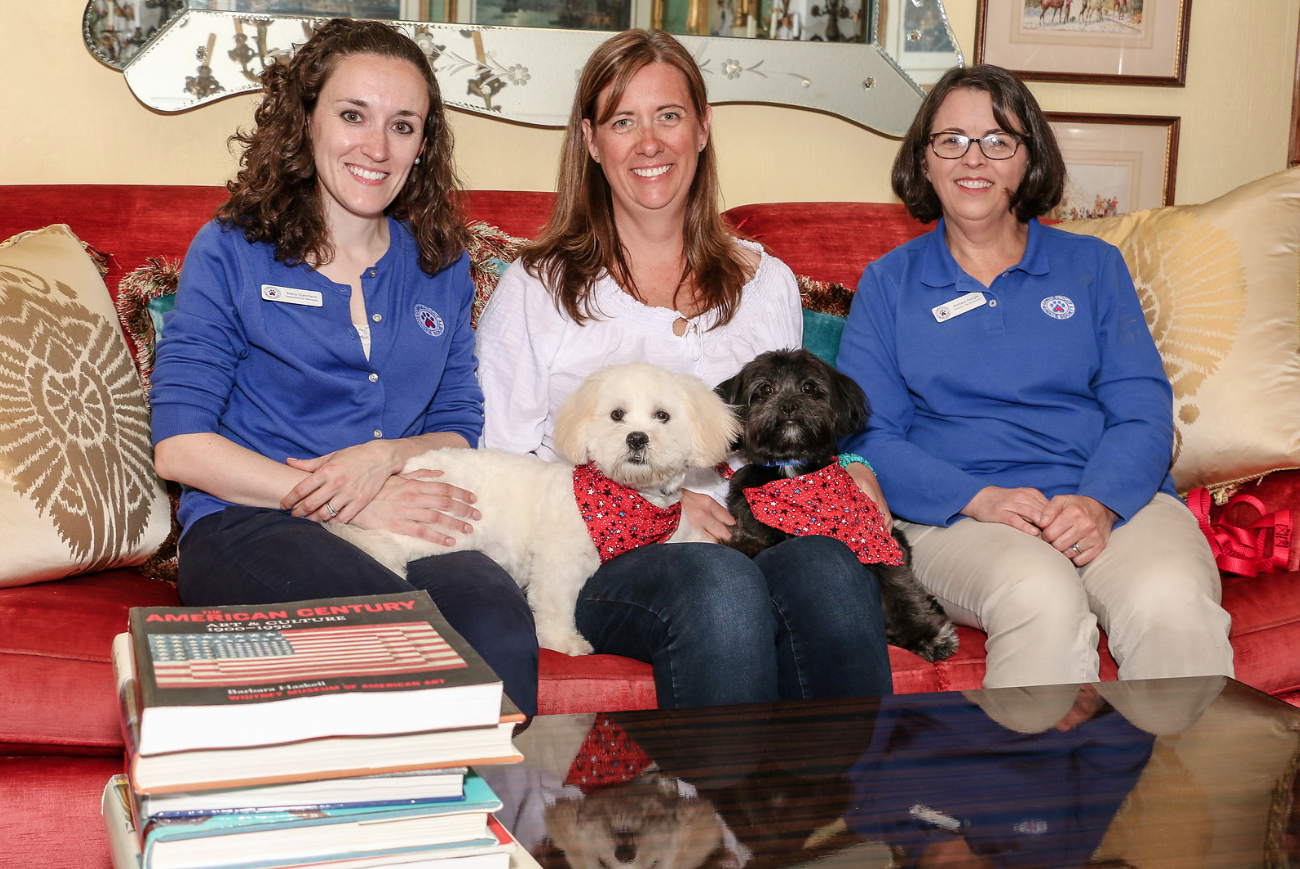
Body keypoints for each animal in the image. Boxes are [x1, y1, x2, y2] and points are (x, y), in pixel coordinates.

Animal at [330, 364, 738, 655]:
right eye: (617, 415)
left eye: (662, 416)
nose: (636, 438)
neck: (629, 504)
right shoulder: (558, 563)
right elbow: (555, 605)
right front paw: (562, 642)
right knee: (368, 539)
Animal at [717, 346, 961, 658]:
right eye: (765, 390)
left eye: (809, 388)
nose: (788, 406)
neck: (792, 471)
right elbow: (750, 542)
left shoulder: (875, 540)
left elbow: (898, 587)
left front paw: (925, 634)